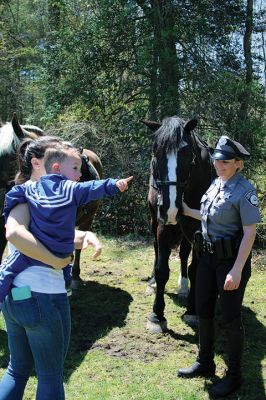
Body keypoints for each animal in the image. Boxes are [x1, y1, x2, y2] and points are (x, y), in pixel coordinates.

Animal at [141, 116, 214, 334]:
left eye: (187, 153)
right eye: (155, 151)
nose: (171, 208)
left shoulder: (198, 232)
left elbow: (195, 269)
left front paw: (192, 311)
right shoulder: (162, 227)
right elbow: (161, 269)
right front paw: (157, 315)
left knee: (183, 254)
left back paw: (183, 286)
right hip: (154, 221)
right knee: (156, 249)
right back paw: (153, 283)